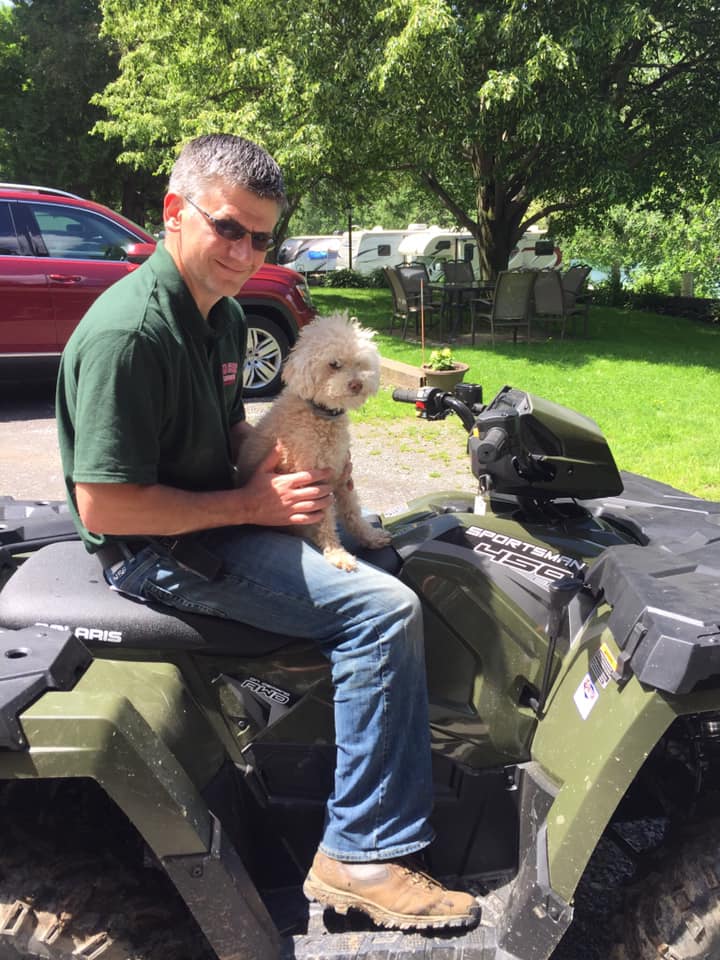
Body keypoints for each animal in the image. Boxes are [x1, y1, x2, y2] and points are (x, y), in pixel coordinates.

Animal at [238, 316, 390, 568]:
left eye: (359, 363)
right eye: (334, 364)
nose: (357, 384)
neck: (320, 415)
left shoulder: (341, 474)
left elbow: (352, 510)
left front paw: (370, 536)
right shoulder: (313, 482)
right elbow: (325, 521)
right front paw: (338, 554)